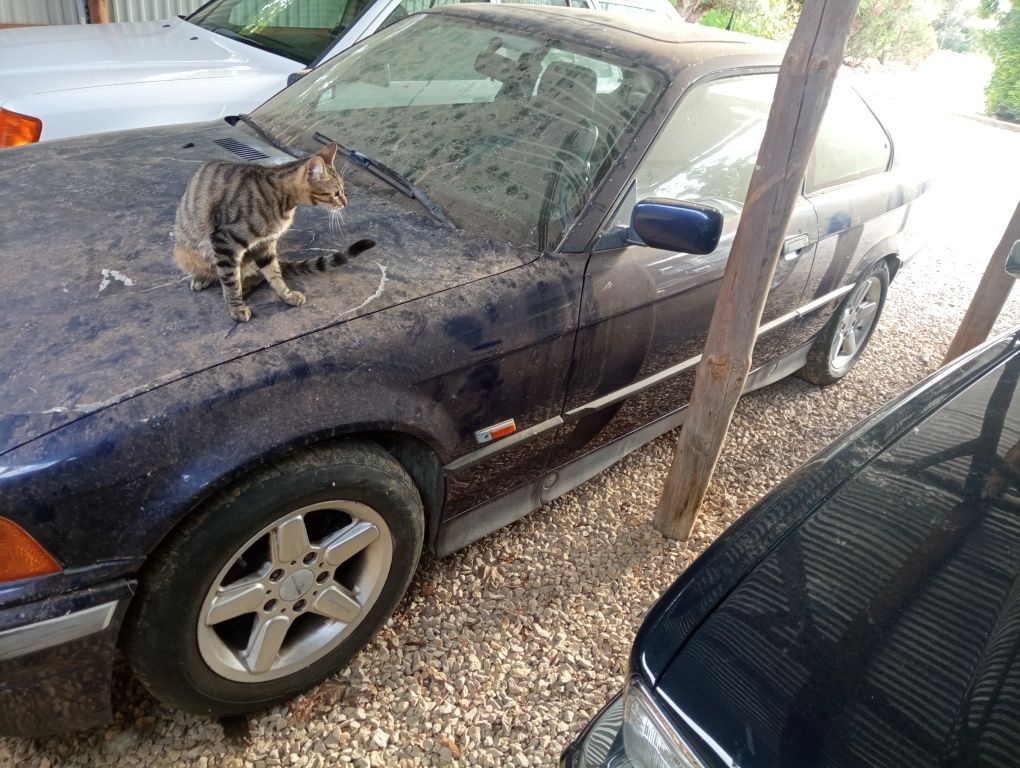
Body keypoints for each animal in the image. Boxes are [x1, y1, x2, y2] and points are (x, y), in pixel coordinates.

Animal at [173, 142, 377, 322]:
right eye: (335, 193)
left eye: (343, 190)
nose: (345, 202)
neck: (282, 199)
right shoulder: (225, 242)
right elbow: (231, 281)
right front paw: (236, 307)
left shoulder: (265, 245)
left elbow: (274, 274)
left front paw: (286, 295)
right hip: (184, 251)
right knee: (221, 273)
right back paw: (202, 278)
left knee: (251, 276)